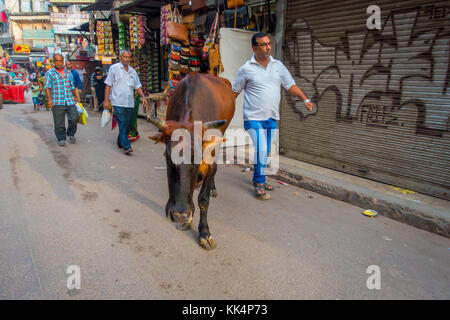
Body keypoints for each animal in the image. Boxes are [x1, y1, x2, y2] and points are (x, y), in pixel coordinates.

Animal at [150, 73, 236, 250]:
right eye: (167, 156)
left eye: (198, 156)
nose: (180, 215)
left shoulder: (210, 159)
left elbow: (203, 199)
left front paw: (204, 233)